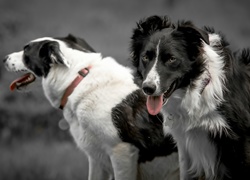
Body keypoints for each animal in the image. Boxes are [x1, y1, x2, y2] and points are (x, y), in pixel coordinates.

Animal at [130, 15, 250, 180]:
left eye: (172, 59)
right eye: (146, 57)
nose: (148, 88)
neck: (198, 89)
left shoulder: (240, 145)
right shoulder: (186, 145)